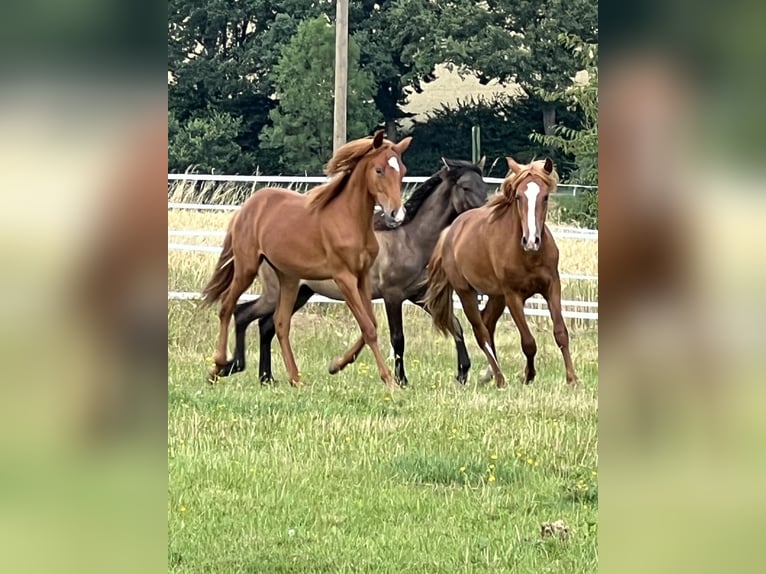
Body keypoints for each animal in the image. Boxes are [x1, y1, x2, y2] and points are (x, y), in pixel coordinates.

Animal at [201, 131, 412, 392]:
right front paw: (390, 381)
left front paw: (337, 365)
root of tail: (245, 209)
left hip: (288, 278)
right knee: (227, 307)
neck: (350, 220)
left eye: (402, 170)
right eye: (379, 170)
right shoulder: (344, 278)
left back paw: (295, 379)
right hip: (247, 268)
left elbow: (370, 324)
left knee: (279, 323)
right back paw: (219, 365)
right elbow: (368, 327)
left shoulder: (362, 278)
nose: (397, 214)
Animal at [216, 159, 488, 388]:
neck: (409, 239)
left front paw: (462, 373)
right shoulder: (393, 296)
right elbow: (397, 338)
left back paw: (263, 376)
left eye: (484, 185)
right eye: (465, 187)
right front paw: (401, 380)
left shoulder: (418, 295)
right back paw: (235, 367)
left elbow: (455, 325)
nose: (485, 213)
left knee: (264, 325)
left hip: (299, 294)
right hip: (276, 293)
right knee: (245, 314)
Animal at [424, 158, 580, 390]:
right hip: (467, 293)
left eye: (545, 197)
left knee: (487, 324)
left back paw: (489, 373)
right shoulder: (513, 295)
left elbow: (561, 333)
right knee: (480, 332)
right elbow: (528, 342)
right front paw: (528, 375)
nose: (531, 241)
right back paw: (499, 378)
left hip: (496, 296)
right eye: (518, 197)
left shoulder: (552, 286)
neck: (529, 256)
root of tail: (450, 231)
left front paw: (572, 378)